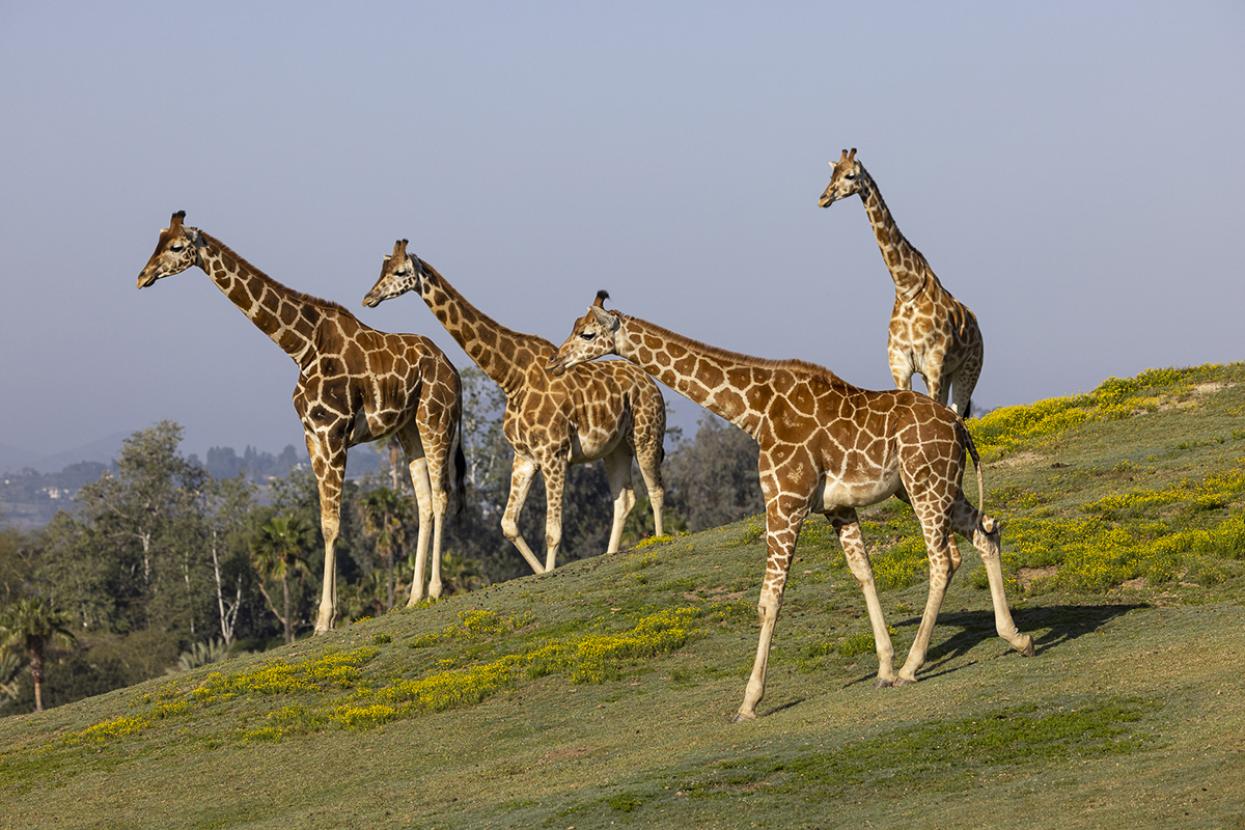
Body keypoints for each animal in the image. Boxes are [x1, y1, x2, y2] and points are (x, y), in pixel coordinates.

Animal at [137, 212, 465, 632]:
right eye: (158, 241)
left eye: (176, 247)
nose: (143, 276)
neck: (300, 346)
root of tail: (452, 368)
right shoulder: (312, 435)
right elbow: (324, 521)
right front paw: (325, 617)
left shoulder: (333, 432)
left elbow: (333, 523)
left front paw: (324, 619)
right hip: (407, 429)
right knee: (424, 501)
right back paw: (413, 597)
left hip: (435, 418)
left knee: (440, 495)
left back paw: (436, 590)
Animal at [362, 240, 666, 574]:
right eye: (382, 269)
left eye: (400, 272)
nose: (369, 297)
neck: (510, 375)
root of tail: (652, 384)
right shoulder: (525, 457)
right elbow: (508, 525)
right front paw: (540, 571)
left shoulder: (554, 455)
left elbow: (553, 532)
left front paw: (549, 573)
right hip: (615, 448)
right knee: (624, 499)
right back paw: (611, 555)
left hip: (646, 436)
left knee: (655, 490)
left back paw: (660, 541)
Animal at [549, 294, 1032, 721]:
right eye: (572, 327)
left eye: (587, 333)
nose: (555, 362)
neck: (755, 412)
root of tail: (959, 426)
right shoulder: (837, 507)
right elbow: (864, 574)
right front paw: (883, 666)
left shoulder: (785, 499)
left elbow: (769, 599)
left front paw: (749, 702)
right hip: (936, 486)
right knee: (987, 532)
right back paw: (1016, 638)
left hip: (924, 483)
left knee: (943, 559)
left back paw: (915, 667)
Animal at [820, 148, 985, 416]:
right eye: (831, 174)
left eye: (850, 175)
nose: (823, 199)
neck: (907, 288)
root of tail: (976, 325)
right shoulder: (900, 366)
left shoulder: (934, 364)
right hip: (946, 373)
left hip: (969, 368)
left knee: (958, 411)